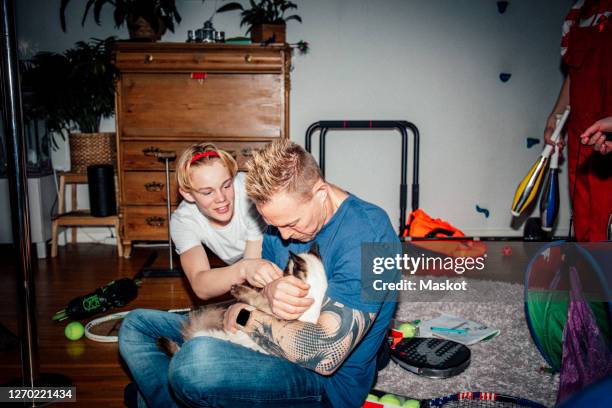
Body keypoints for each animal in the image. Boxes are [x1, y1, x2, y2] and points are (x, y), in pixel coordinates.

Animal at [160, 244, 328, 356]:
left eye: (286, 269)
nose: (281, 273)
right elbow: (256, 293)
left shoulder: (272, 310)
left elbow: (255, 297)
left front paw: (238, 289)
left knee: (181, 347)